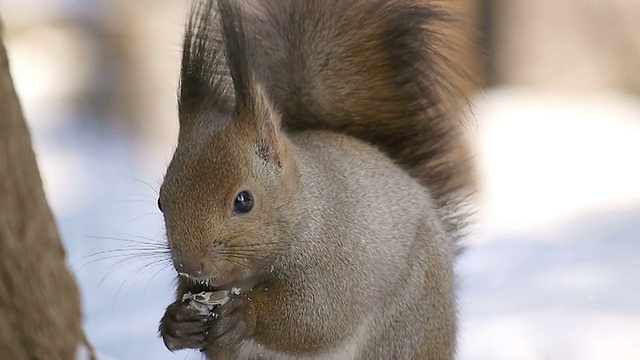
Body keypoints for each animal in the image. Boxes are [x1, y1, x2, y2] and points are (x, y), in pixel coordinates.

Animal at [155, 0, 476, 358]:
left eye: (244, 201)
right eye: (161, 202)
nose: (190, 266)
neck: (306, 209)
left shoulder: (337, 261)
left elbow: (316, 316)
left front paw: (245, 312)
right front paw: (177, 321)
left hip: (406, 332)